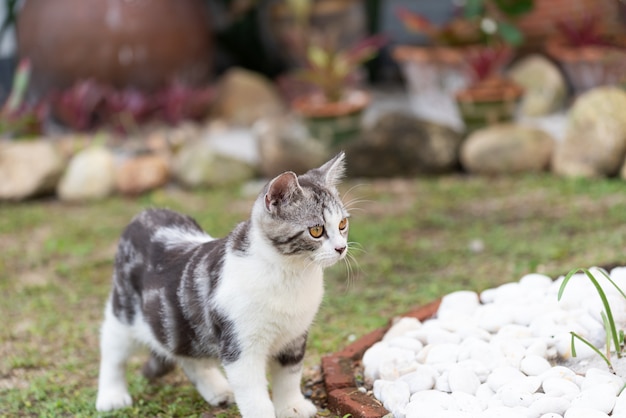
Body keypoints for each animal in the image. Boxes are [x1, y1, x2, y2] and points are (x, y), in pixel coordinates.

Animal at [95, 152, 348, 416]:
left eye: (342, 225)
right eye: (316, 230)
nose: (342, 248)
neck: (291, 274)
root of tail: (145, 214)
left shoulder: (294, 336)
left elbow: (289, 376)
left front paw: (292, 407)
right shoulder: (240, 345)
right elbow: (253, 395)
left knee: (184, 352)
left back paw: (216, 389)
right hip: (124, 312)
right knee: (112, 347)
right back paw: (111, 396)